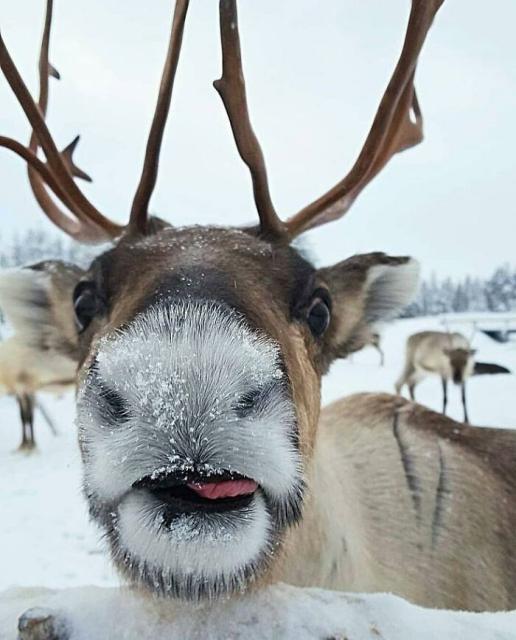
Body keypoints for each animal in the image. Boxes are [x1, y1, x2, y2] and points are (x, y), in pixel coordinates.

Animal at [0, 262, 81, 450]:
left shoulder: (23, 387)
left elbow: (26, 417)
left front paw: (28, 446)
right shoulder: (27, 389)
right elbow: (25, 416)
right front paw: (25, 444)